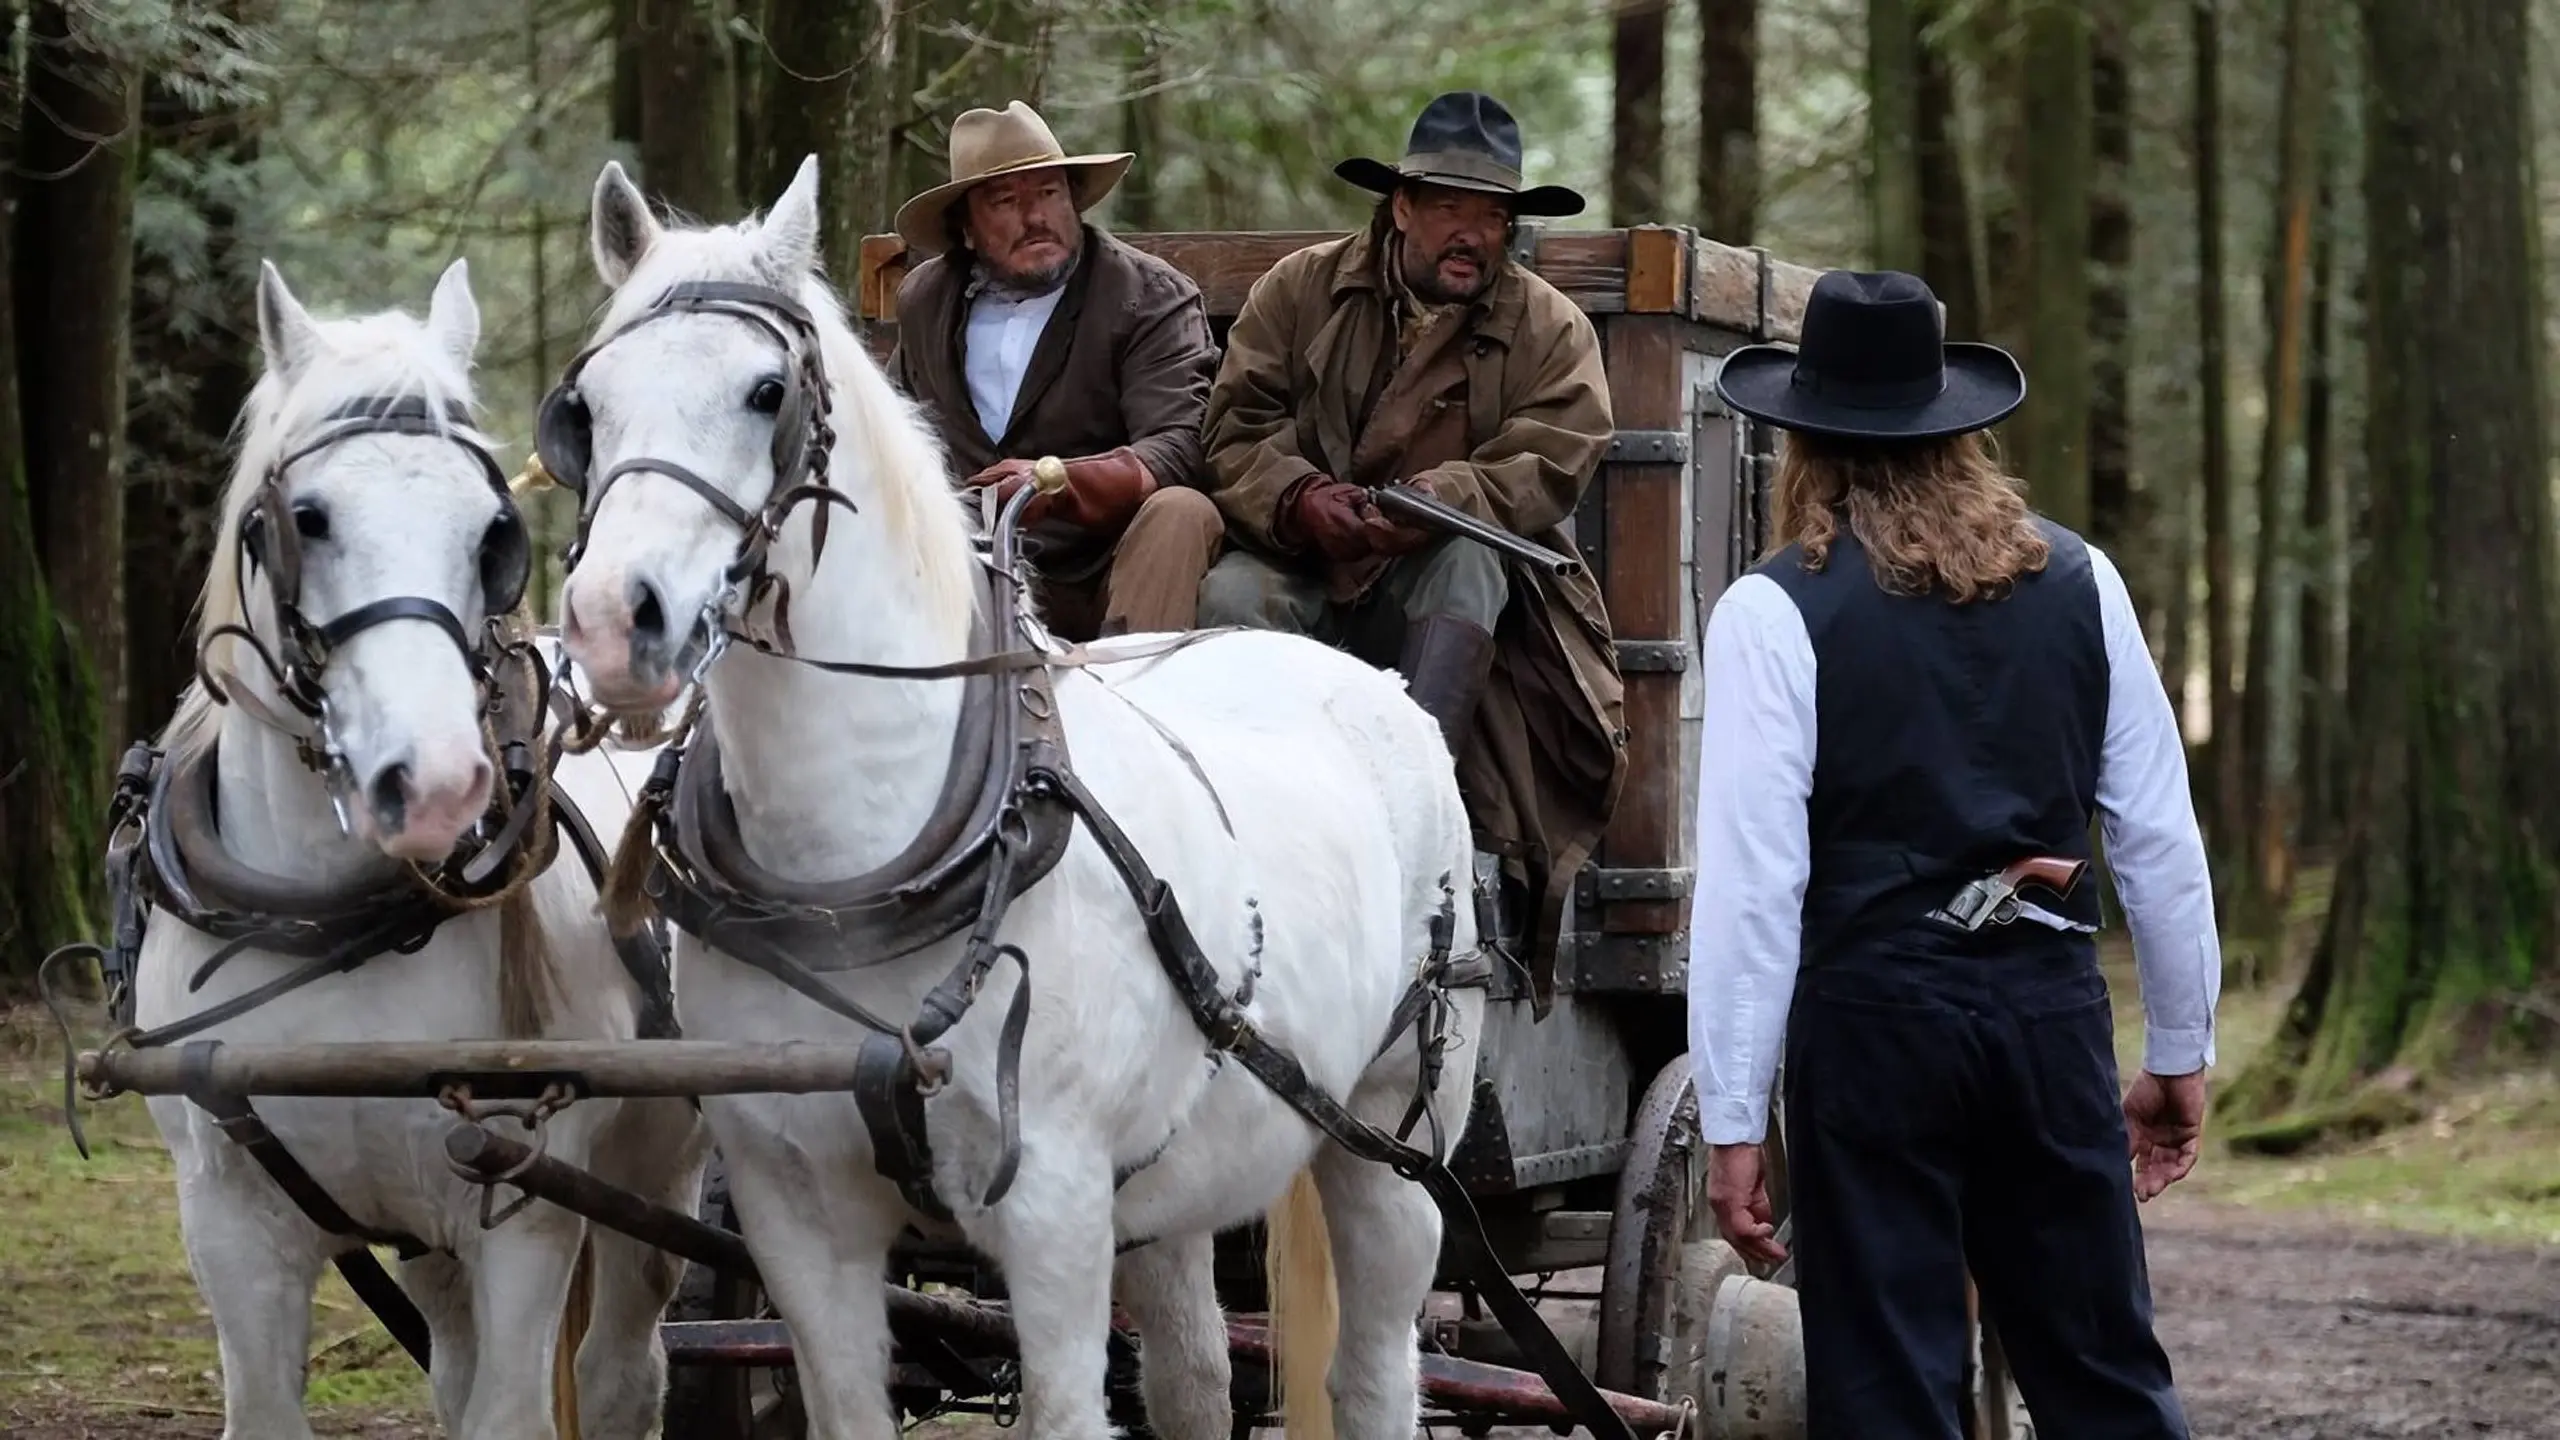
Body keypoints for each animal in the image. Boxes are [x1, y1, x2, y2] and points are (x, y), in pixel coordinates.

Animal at [128, 257, 706, 1434]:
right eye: (306, 519)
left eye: (492, 531)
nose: (435, 783)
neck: (333, 921)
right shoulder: (229, 1223)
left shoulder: (527, 1211)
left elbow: (510, 1414)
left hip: (654, 1162)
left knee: (624, 1372)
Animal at [550, 156, 1495, 1434]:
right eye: (585, 407)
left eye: (764, 392)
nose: (613, 622)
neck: (861, 862)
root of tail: (1369, 678)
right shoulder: (793, 1208)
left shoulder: (1052, 1206)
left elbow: (1063, 1407)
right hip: (1180, 1171)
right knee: (1195, 1375)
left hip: (1393, 1134)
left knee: (1374, 1367)